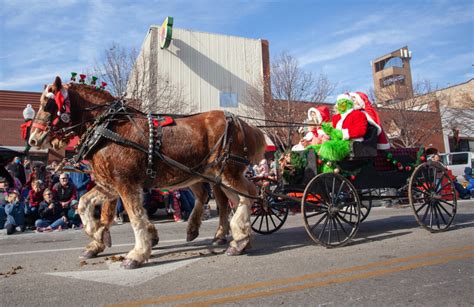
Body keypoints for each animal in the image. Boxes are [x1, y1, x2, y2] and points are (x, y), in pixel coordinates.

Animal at [28, 77, 266, 270]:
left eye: (48, 104)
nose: (33, 139)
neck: (108, 128)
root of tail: (241, 122)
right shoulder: (109, 185)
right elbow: (85, 205)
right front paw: (98, 235)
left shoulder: (125, 183)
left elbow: (135, 217)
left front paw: (137, 254)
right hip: (208, 175)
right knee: (226, 198)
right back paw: (227, 236)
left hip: (227, 173)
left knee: (246, 195)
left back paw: (237, 238)